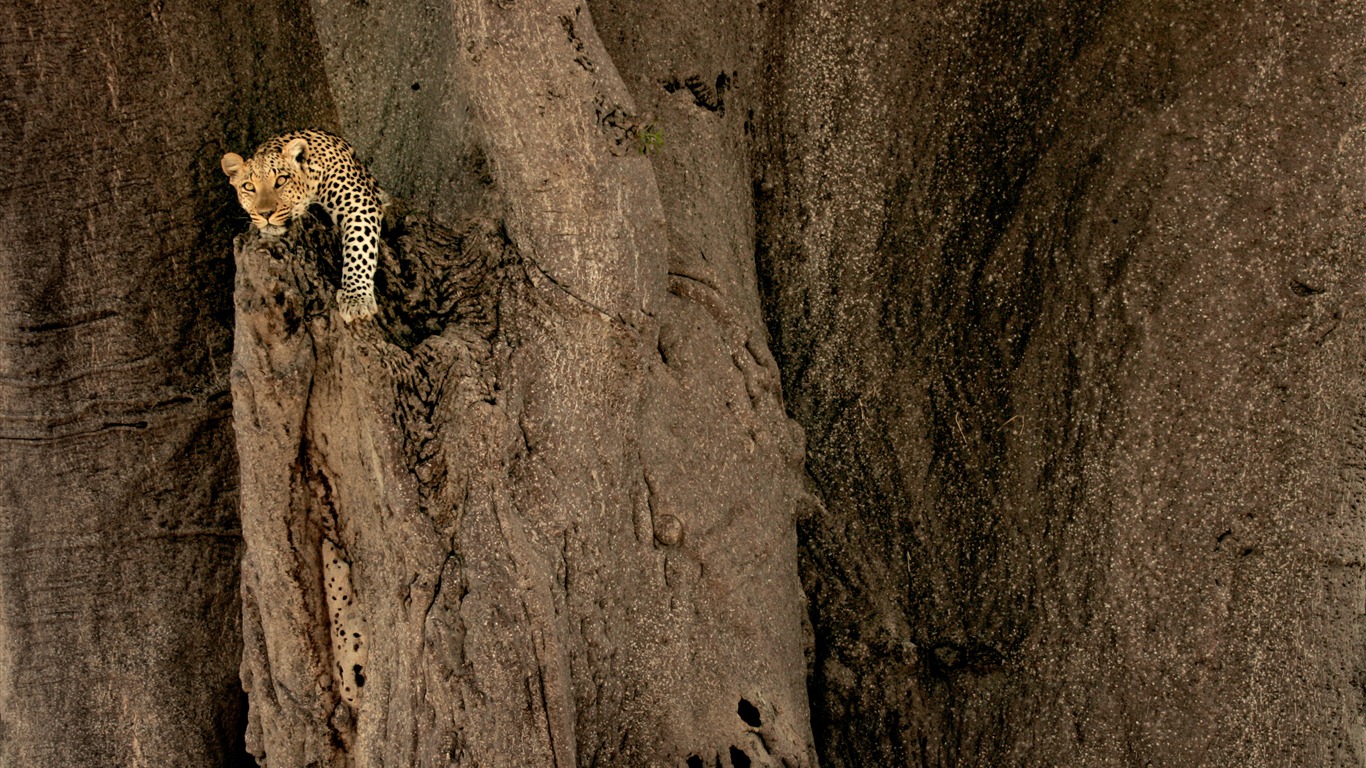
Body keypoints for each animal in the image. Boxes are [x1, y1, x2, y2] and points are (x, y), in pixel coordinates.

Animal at [222, 128, 385, 319]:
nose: (265, 213)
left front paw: (356, 300)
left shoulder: (360, 204)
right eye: (248, 186)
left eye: (281, 180)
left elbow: (359, 249)